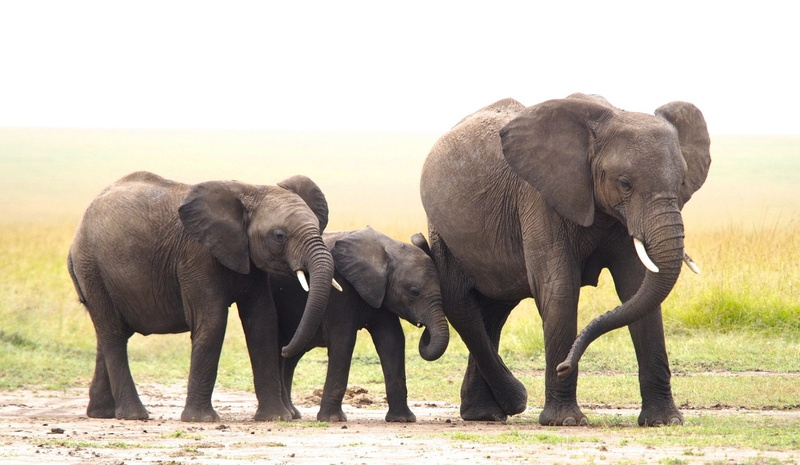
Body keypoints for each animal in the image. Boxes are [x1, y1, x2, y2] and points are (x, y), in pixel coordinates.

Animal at [67, 171, 336, 422]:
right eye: (280, 236)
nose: (286, 350)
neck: (251, 190)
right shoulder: (197, 256)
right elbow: (212, 321)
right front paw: (201, 419)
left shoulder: (248, 259)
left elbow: (262, 322)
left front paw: (275, 418)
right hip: (93, 269)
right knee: (113, 335)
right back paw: (134, 415)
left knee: (107, 334)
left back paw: (101, 413)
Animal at [270, 226, 449, 422]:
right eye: (414, 292)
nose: (423, 328)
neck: (387, 250)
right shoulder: (339, 288)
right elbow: (344, 340)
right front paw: (333, 419)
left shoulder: (381, 291)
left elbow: (392, 340)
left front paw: (402, 419)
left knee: (290, 358)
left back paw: (293, 413)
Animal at [419, 94, 710, 426]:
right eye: (625, 184)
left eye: (682, 183)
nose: (564, 365)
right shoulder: (540, 197)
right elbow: (559, 288)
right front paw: (565, 421)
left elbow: (636, 288)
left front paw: (664, 421)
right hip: (443, 230)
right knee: (461, 302)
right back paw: (508, 404)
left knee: (494, 309)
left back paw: (486, 413)